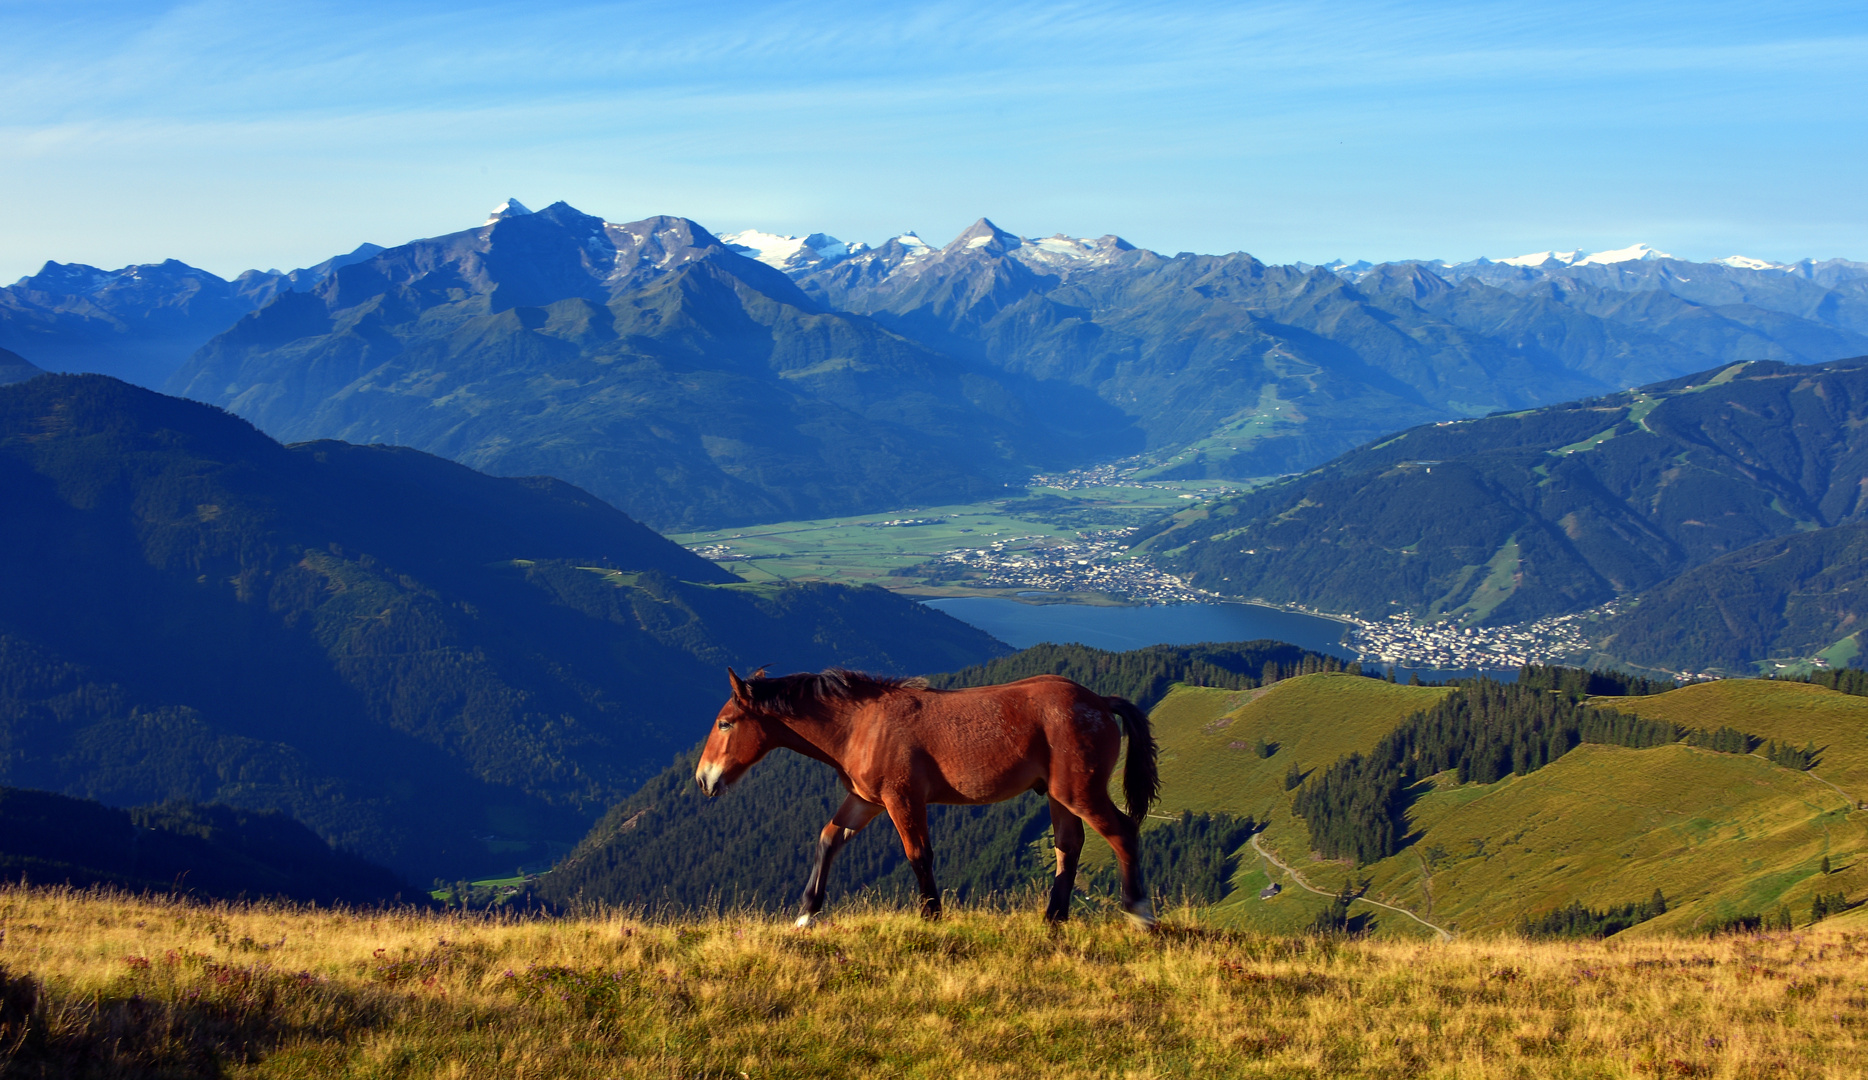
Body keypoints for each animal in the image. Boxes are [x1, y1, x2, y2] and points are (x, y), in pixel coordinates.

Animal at [691, 665, 1150, 926]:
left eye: (725, 723)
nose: (703, 780)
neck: (860, 725)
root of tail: (1099, 702)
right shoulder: (866, 802)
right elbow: (828, 840)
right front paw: (806, 913)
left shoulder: (902, 799)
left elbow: (918, 855)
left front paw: (932, 916)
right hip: (1059, 796)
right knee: (1068, 846)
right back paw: (1054, 918)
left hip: (1080, 792)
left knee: (1123, 833)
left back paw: (1139, 912)